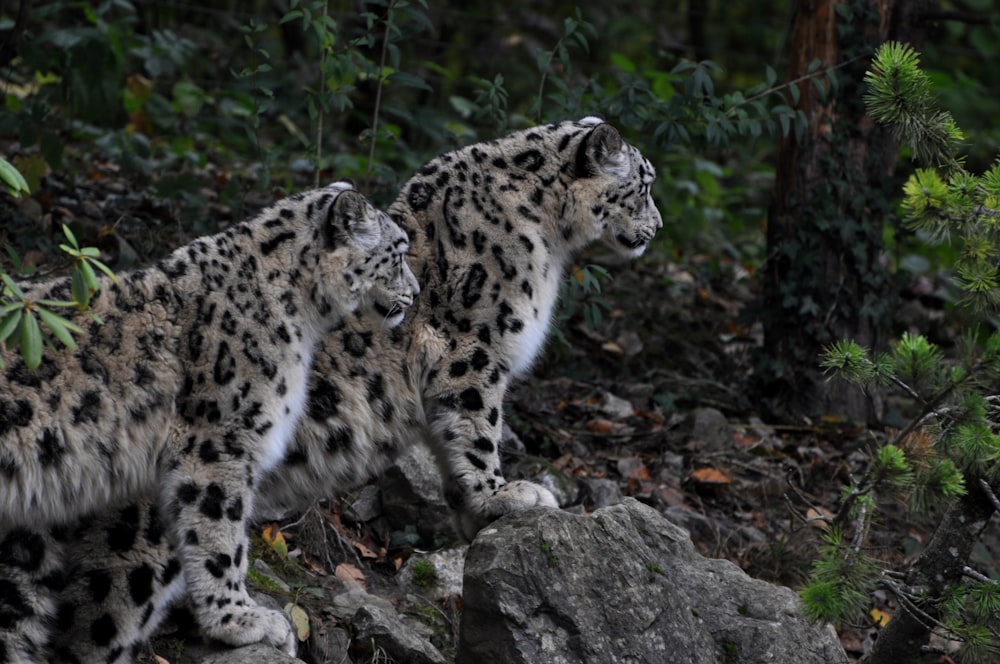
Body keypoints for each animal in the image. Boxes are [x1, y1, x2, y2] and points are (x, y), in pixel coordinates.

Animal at [0, 179, 418, 660]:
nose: (416, 292)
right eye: (398, 253)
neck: (302, 318)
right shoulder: (221, 442)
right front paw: (243, 620)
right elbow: (221, 536)